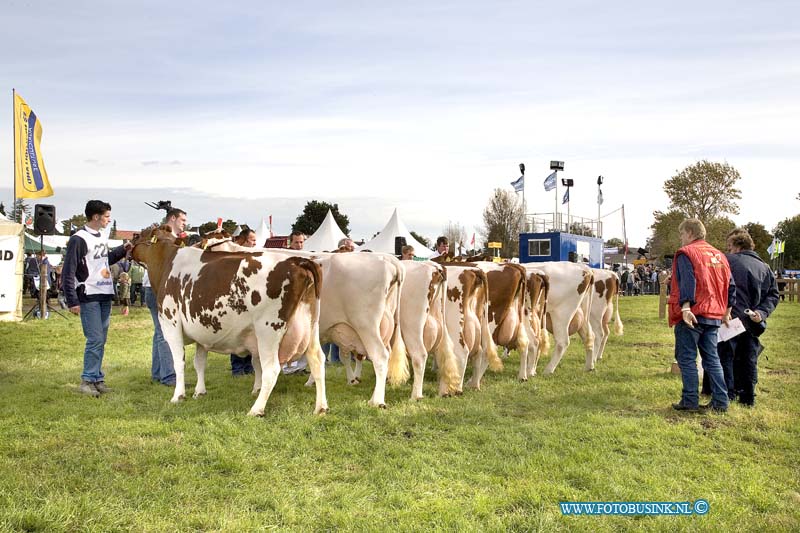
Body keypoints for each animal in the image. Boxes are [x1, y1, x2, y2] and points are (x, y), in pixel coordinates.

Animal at [133, 227, 326, 414]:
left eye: (141, 234)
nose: (131, 242)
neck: (167, 263)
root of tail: (296, 261)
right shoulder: (202, 333)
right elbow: (199, 363)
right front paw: (199, 392)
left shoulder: (170, 323)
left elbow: (179, 362)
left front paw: (178, 396)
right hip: (312, 325)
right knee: (317, 359)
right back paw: (320, 407)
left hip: (268, 330)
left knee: (271, 369)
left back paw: (256, 409)